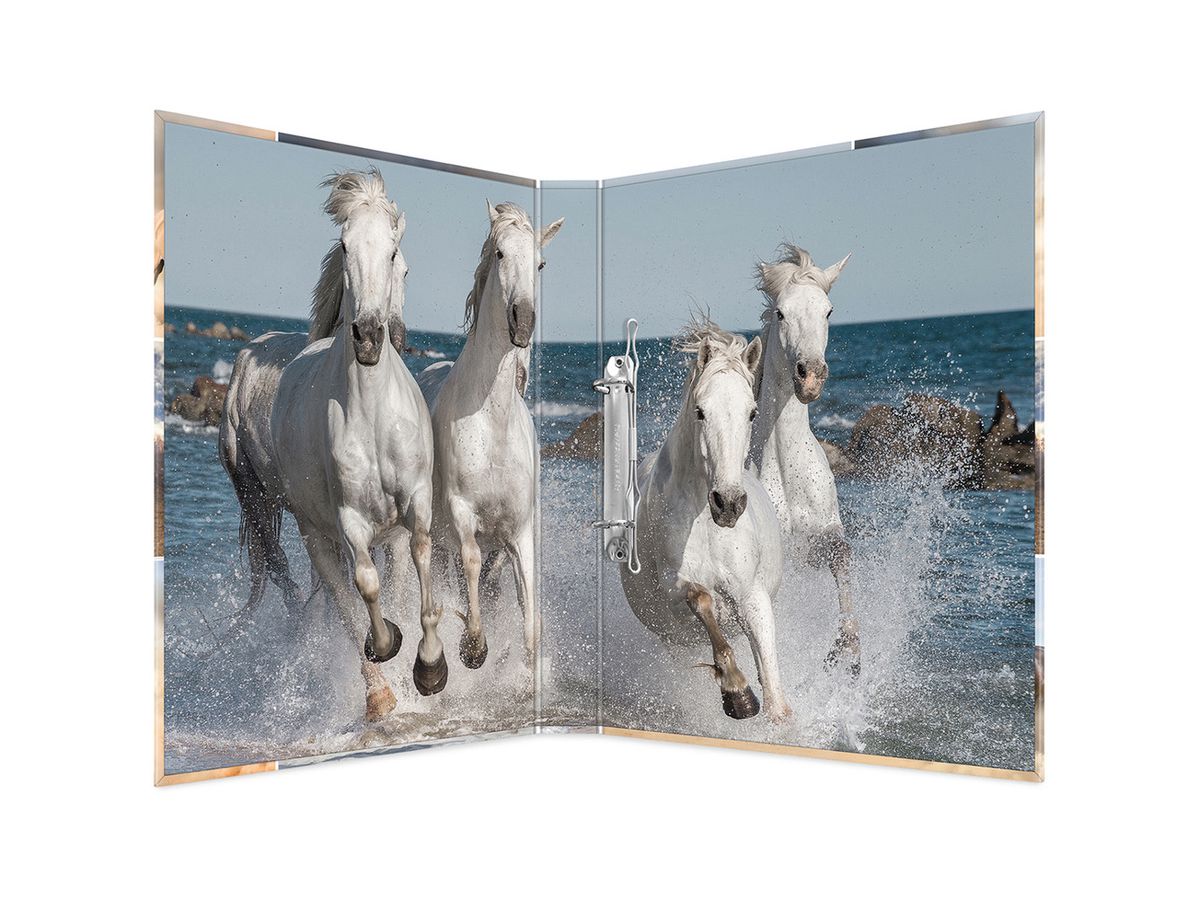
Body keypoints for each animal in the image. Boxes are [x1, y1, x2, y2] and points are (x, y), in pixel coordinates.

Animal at [268, 170, 442, 721]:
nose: (368, 337)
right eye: (345, 246)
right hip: (316, 536)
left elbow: (422, 568)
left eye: (396, 255)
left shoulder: (417, 506)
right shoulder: (350, 521)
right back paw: (379, 693)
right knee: (347, 600)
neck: (371, 412)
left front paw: (431, 668)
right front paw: (390, 649)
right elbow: (366, 590)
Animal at [416, 201, 563, 671]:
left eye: (541, 263)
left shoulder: (519, 533)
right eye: (499, 254)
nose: (523, 321)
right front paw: (473, 647)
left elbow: (529, 619)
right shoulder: (462, 516)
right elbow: (471, 562)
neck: (492, 425)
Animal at [618, 319, 792, 723]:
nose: (728, 504)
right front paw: (738, 693)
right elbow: (702, 599)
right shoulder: (675, 587)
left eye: (752, 412)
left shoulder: (752, 596)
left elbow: (775, 695)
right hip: (674, 639)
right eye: (700, 411)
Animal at [748, 244, 860, 673]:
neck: (786, 469)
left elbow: (842, 556)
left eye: (828, 311)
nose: (810, 375)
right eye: (780, 313)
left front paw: (847, 649)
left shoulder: (819, 539)